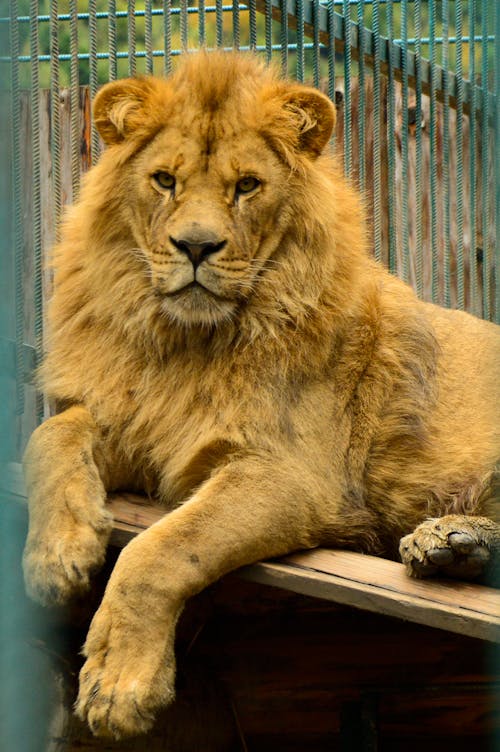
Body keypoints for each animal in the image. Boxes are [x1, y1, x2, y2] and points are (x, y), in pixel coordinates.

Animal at [23, 53, 500, 740]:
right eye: (164, 181)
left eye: (247, 186)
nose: (196, 247)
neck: (186, 345)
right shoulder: (137, 425)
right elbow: (51, 434)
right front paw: (57, 555)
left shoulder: (291, 475)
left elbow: (161, 549)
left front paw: (120, 686)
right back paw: (450, 547)